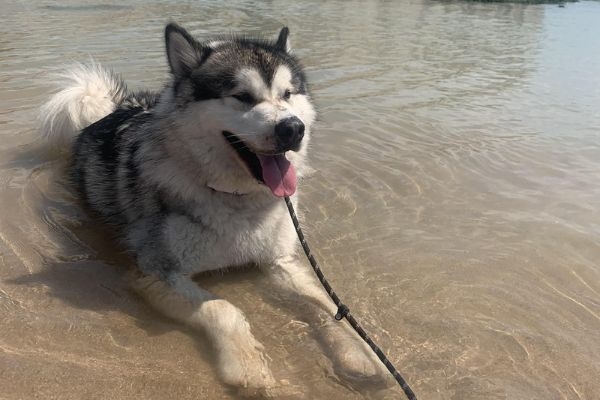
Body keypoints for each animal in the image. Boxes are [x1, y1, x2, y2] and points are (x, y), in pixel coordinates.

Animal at [41, 23, 384, 396]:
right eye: (243, 96)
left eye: (288, 94)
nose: (293, 128)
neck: (237, 199)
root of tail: (123, 107)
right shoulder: (154, 273)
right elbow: (224, 308)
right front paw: (248, 367)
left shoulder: (278, 262)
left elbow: (326, 303)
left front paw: (364, 353)